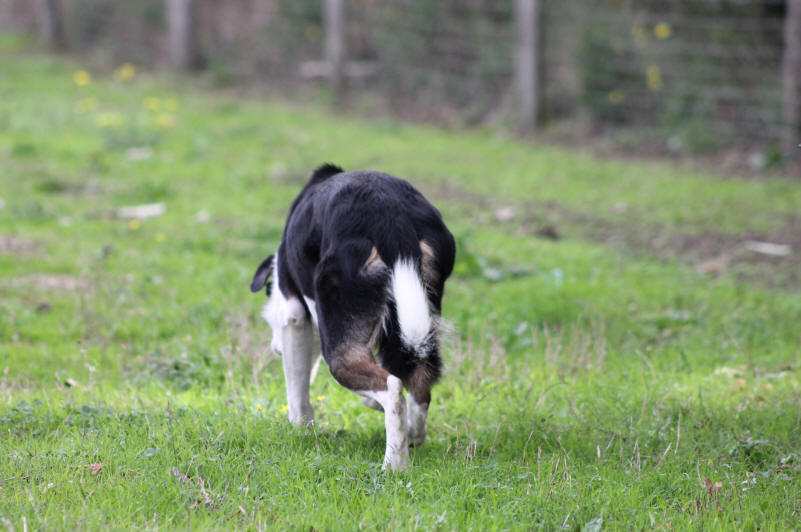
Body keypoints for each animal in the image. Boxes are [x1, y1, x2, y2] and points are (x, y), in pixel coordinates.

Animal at [250, 164, 454, 472]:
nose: (275, 349)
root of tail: (391, 220)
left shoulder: (294, 317)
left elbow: (297, 386)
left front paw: (301, 427)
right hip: (418, 317)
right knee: (418, 382)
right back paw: (413, 436)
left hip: (339, 344)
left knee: (392, 387)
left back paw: (394, 465)